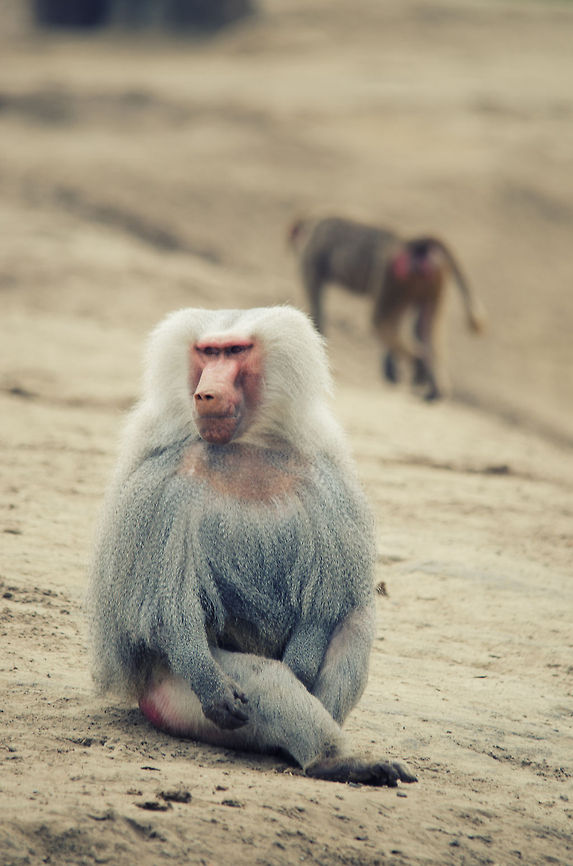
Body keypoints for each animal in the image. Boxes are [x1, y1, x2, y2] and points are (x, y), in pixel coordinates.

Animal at [87, 306, 417, 787]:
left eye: (235, 351)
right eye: (207, 352)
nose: (206, 393)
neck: (245, 445)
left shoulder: (322, 475)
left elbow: (324, 603)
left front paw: (304, 661)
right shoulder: (162, 483)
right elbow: (169, 608)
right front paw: (212, 682)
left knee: (355, 618)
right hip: (175, 696)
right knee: (265, 681)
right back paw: (331, 760)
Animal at [288, 216, 486, 401]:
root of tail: (410, 243)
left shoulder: (313, 251)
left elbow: (315, 298)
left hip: (392, 275)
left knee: (381, 323)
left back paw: (418, 364)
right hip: (430, 279)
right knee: (426, 327)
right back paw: (434, 387)